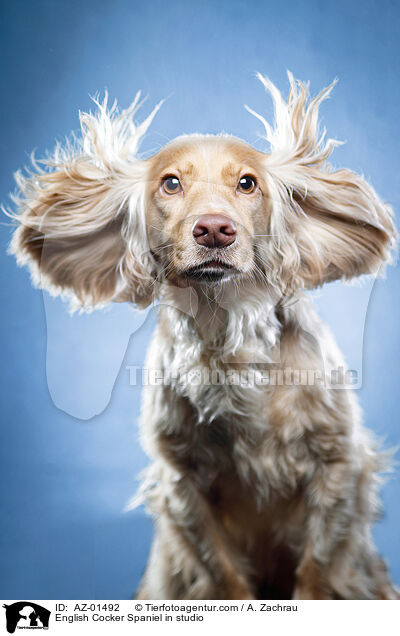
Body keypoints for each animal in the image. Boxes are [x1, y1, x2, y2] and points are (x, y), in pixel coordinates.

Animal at [7, 72, 398, 600]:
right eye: (171, 182)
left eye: (247, 183)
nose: (214, 229)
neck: (228, 335)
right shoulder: (182, 483)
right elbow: (224, 574)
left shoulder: (337, 465)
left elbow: (316, 571)